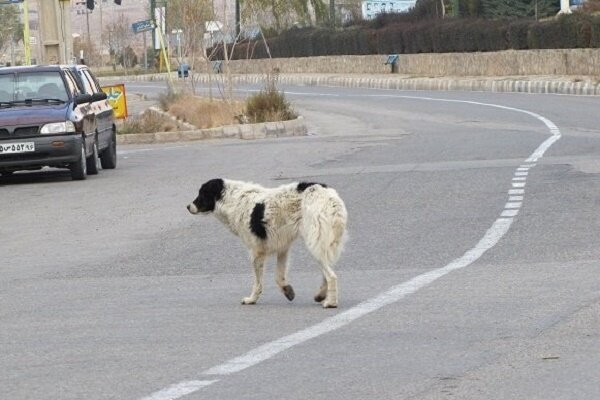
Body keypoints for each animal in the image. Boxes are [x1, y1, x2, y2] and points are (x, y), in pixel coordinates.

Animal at [186, 179, 346, 310]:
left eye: (201, 193)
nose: (188, 206)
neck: (232, 200)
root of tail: (331, 199)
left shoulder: (256, 252)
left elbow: (258, 283)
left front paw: (251, 300)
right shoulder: (283, 248)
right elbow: (279, 277)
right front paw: (287, 290)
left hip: (314, 244)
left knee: (331, 276)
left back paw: (330, 302)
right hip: (322, 245)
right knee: (326, 273)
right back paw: (321, 295)